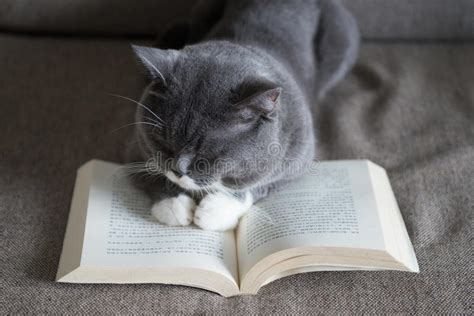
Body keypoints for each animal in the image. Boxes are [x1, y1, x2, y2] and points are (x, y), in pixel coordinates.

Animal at [128, 0, 358, 230]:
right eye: (161, 140)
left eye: (208, 153)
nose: (178, 170)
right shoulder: (136, 147)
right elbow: (147, 174)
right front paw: (174, 205)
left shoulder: (299, 161)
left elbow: (261, 185)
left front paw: (215, 209)